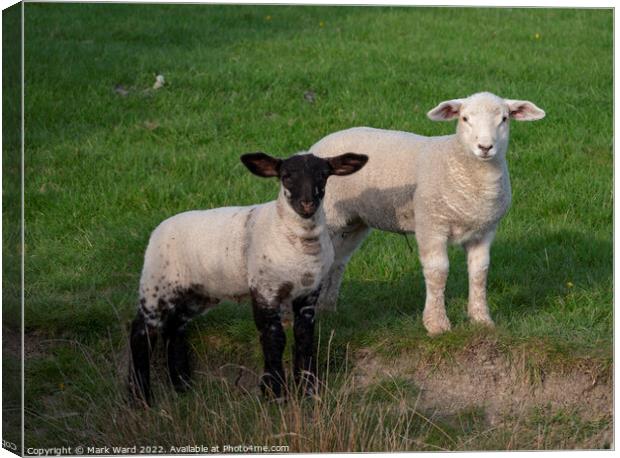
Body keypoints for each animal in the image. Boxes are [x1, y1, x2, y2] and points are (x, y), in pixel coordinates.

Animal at [128, 150, 366, 404]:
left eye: (323, 175)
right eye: (286, 176)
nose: (307, 204)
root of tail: (159, 228)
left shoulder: (310, 292)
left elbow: (305, 338)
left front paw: (308, 390)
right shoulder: (264, 288)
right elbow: (274, 337)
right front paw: (275, 392)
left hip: (196, 293)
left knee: (175, 328)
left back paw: (182, 384)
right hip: (155, 285)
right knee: (142, 332)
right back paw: (141, 396)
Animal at [308, 93, 544, 334]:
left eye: (504, 119)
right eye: (465, 118)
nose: (485, 147)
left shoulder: (485, 230)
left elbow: (480, 272)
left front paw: (481, 319)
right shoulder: (431, 225)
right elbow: (438, 272)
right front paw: (437, 324)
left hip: (354, 222)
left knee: (337, 260)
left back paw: (326, 308)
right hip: (328, 215)